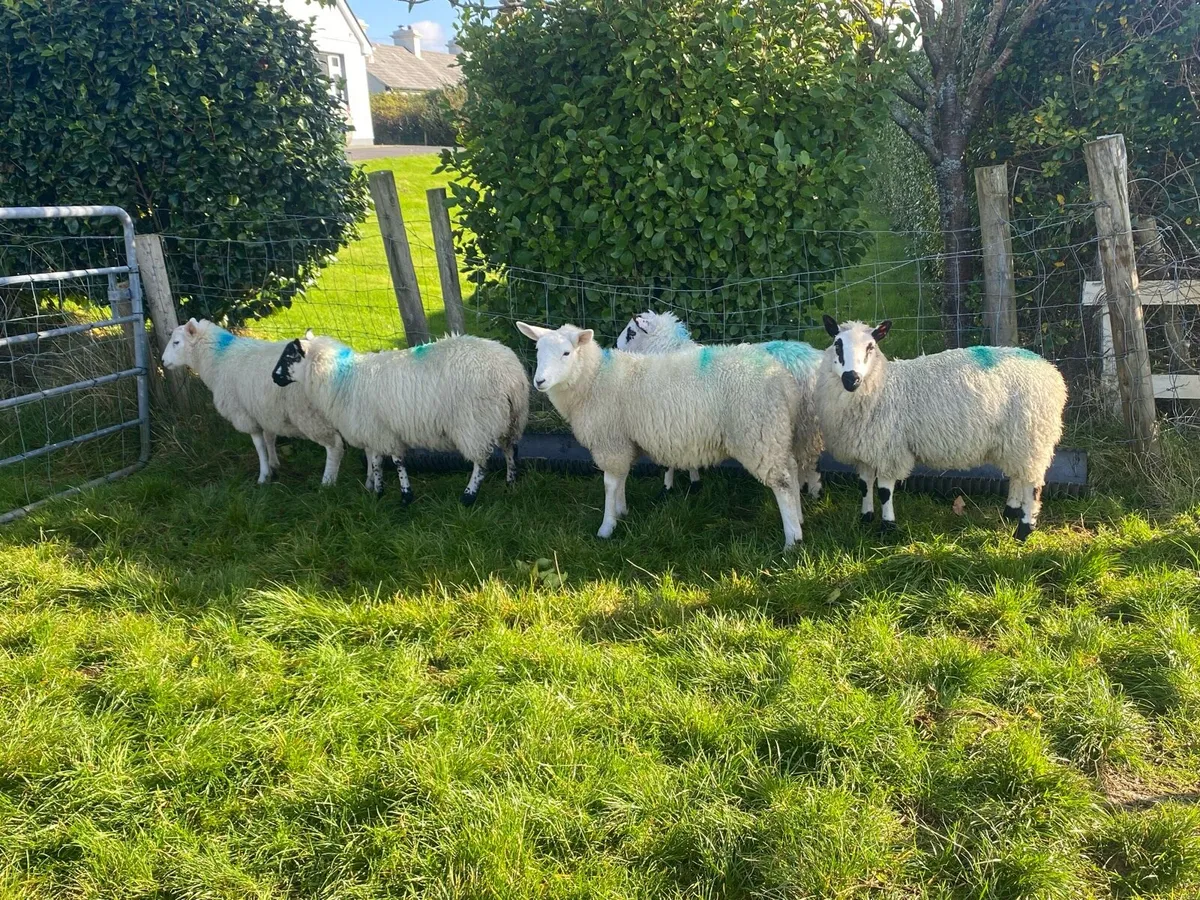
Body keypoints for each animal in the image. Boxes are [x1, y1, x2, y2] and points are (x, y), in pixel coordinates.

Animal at [161, 318, 344, 485]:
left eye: (176, 342)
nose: (162, 361)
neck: (219, 359)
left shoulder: (243, 413)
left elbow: (259, 446)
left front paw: (263, 476)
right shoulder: (265, 410)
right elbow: (269, 438)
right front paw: (273, 464)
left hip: (308, 414)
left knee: (334, 446)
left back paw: (328, 482)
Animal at [271, 332, 530, 505]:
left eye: (289, 356)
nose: (274, 378)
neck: (341, 377)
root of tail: (511, 375)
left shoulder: (382, 431)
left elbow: (395, 462)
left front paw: (404, 496)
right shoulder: (376, 430)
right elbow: (377, 461)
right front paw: (377, 491)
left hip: (475, 423)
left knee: (481, 462)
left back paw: (468, 496)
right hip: (511, 419)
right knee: (510, 450)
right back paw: (511, 483)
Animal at [516, 321, 810, 549]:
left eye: (566, 353)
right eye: (538, 350)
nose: (539, 382)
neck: (595, 378)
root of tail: (782, 379)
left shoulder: (610, 441)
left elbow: (610, 484)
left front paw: (607, 527)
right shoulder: (625, 441)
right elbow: (622, 479)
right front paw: (622, 511)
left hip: (758, 433)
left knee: (782, 483)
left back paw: (792, 540)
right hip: (775, 433)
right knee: (792, 468)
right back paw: (799, 518)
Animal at [616, 310, 825, 498]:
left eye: (631, 332)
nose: (616, 347)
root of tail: (815, 358)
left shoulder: (667, 420)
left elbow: (668, 463)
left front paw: (667, 489)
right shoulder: (686, 423)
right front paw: (695, 483)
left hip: (802, 426)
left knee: (809, 462)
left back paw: (812, 492)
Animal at [815, 315, 1067, 540]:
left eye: (870, 347)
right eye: (837, 345)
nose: (851, 379)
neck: (884, 387)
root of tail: (1050, 371)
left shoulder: (889, 450)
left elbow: (885, 491)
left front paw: (887, 528)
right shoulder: (866, 450)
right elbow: (864, 485)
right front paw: (865, 518)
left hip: (1032, 435)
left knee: (1032, 485)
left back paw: (1023, 530)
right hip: (1016, 440)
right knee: (1017, 475)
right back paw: (1010, 513)